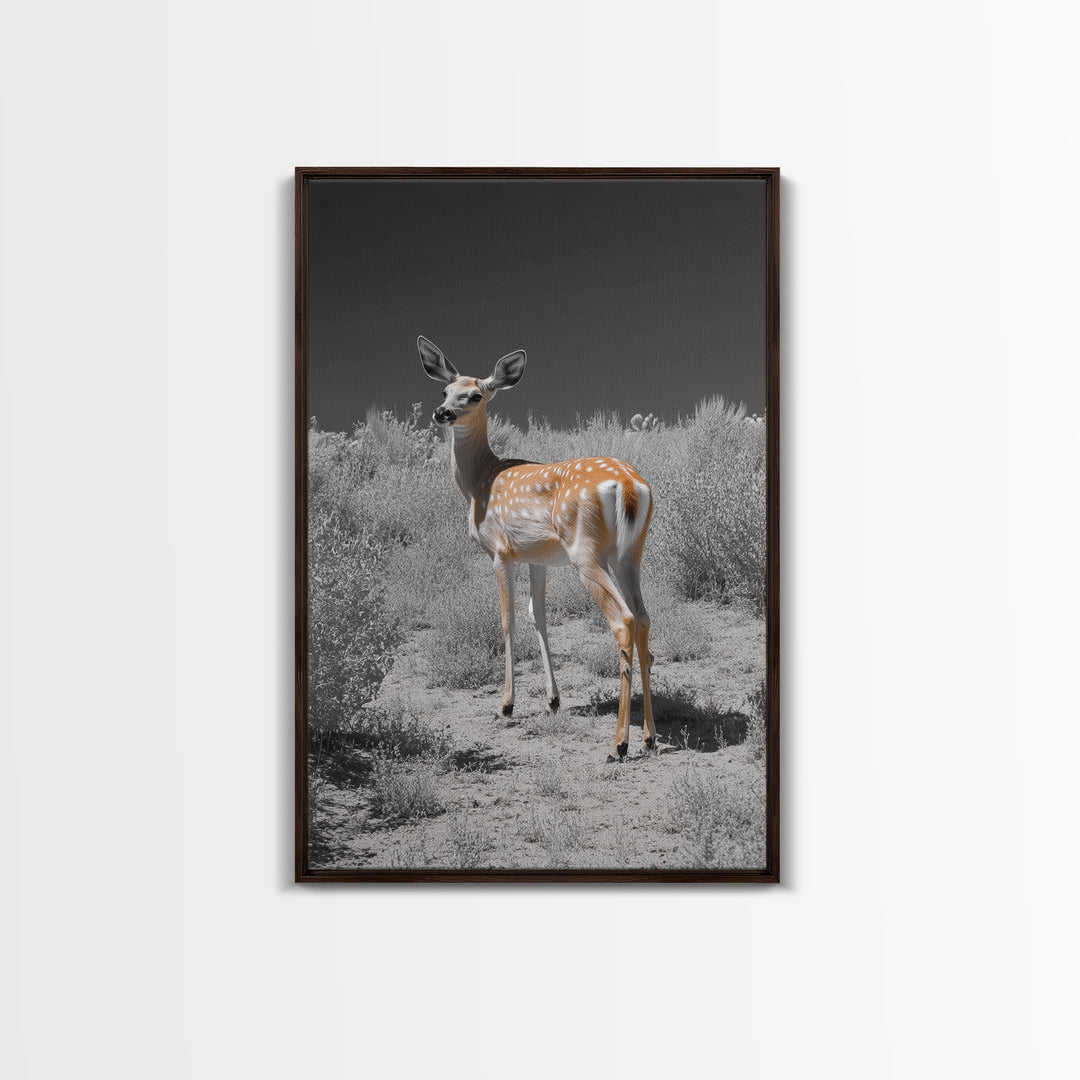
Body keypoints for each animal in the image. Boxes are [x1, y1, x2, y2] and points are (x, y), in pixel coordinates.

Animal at [419, 335, 656, 762]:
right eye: (445, 390)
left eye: (475, 395)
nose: (441, 412)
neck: (479, 480)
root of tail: (629, 486)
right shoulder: (537, 558)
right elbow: (539, 617)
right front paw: (553, 700)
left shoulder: (500, 552)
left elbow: (508, 619)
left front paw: (506, 705)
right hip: (629, 554)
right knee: (643, 617)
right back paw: (649, 737)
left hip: (585, 553)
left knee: (623, 619)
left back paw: (618, 744)